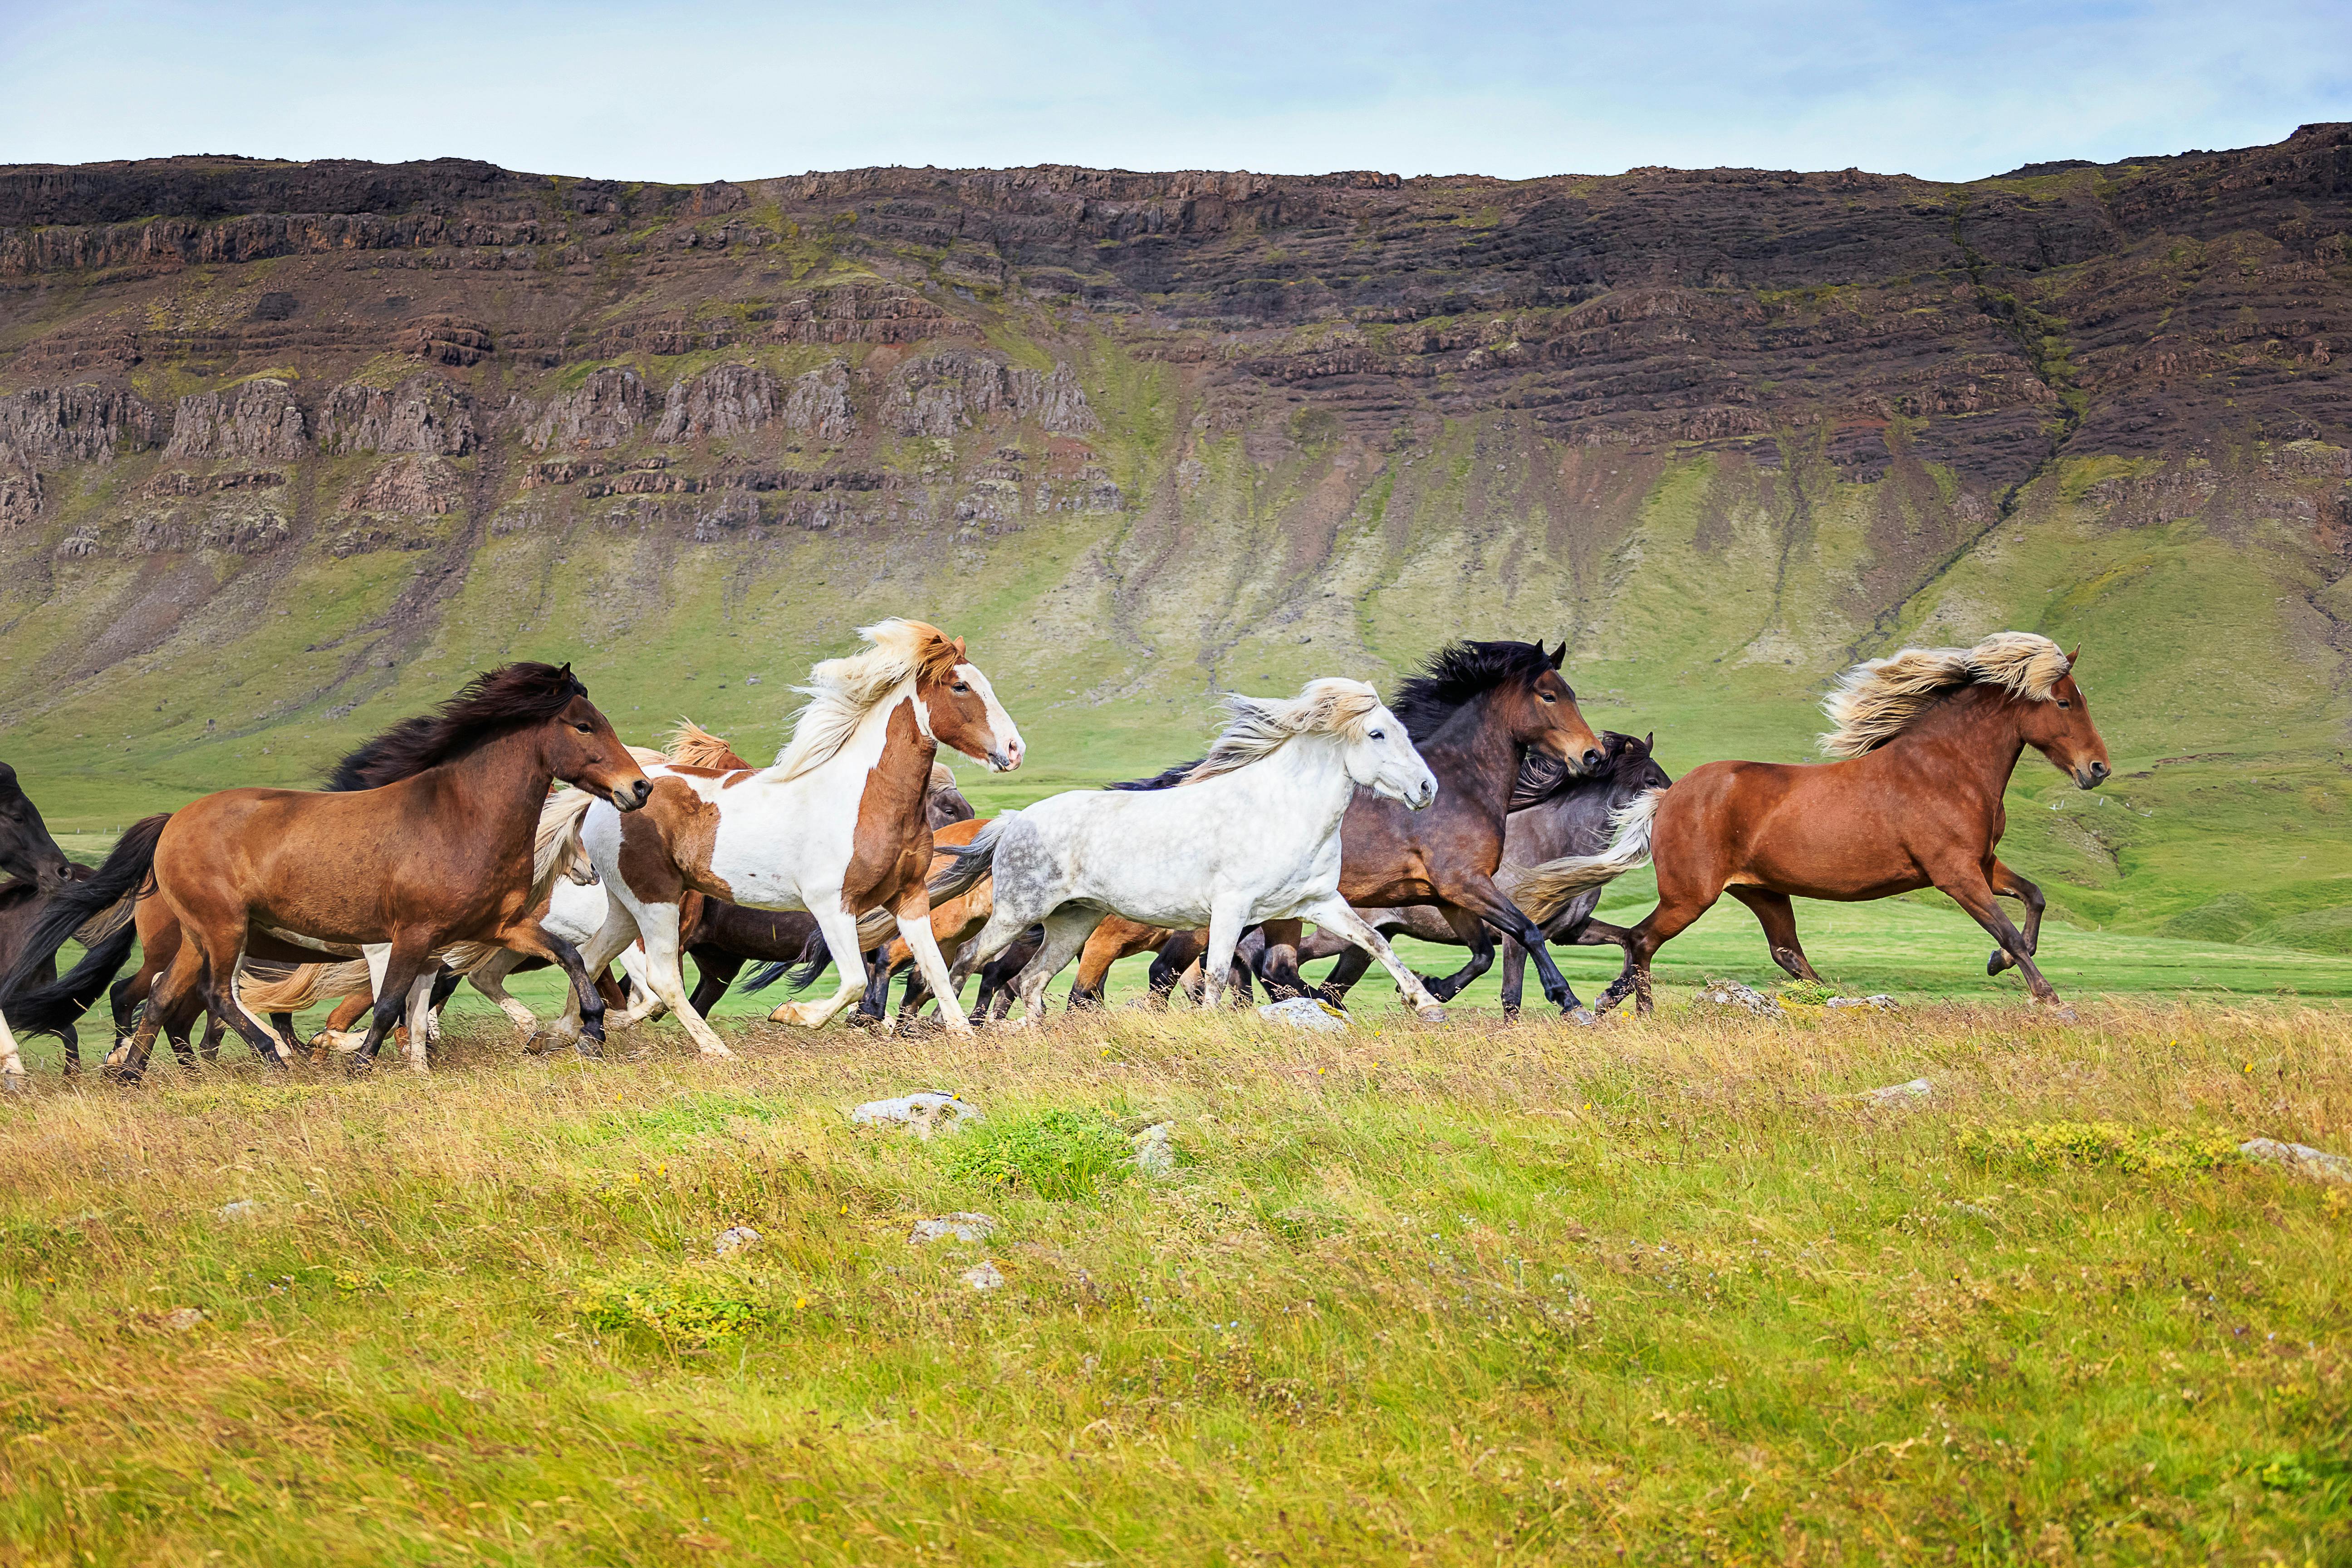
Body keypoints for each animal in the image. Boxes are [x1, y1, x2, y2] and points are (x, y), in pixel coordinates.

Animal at [564, 616, 1025, 1053]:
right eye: (961, 686)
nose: (1015, 749)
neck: (865, 798)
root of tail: (615, 796)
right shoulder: (833, 906)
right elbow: (855, 982)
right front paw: (792, 1014)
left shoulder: (910, 898)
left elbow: (935, 973)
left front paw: (964, 1040)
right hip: (657, 902)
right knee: (660, 981)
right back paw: (716, 1051)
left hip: (628, 906)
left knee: (591, 958)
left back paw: (568, 1034)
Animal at [936, 677, 1449, 1025]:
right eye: (1377, 734)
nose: (1427, 789)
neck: (1280, 810)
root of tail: (1015, 819)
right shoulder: (1231, 908)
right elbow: (1217, 974)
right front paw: (1210, 1026)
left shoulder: (1319, 902)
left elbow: (1376, 942)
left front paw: (1427, 1005)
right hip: (1018, 913)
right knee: (969, 961)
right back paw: (956, 1030)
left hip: (1073, 921)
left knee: (1031, 979)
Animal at [1533, 634, 2126, 1020]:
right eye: (2065, 702)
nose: (2098, 769)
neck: (1946, 768)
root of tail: (1667, 796)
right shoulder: (1955, 873)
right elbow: (2009, 929)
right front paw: (2050, 999)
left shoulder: (1982, 863)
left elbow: (2035, 898)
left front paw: (1996, 965)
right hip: (1692, 895)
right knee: (1643, 939)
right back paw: (1637, 1009)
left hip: (1762, 891)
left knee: (1785, 952)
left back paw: (1831, 1000)